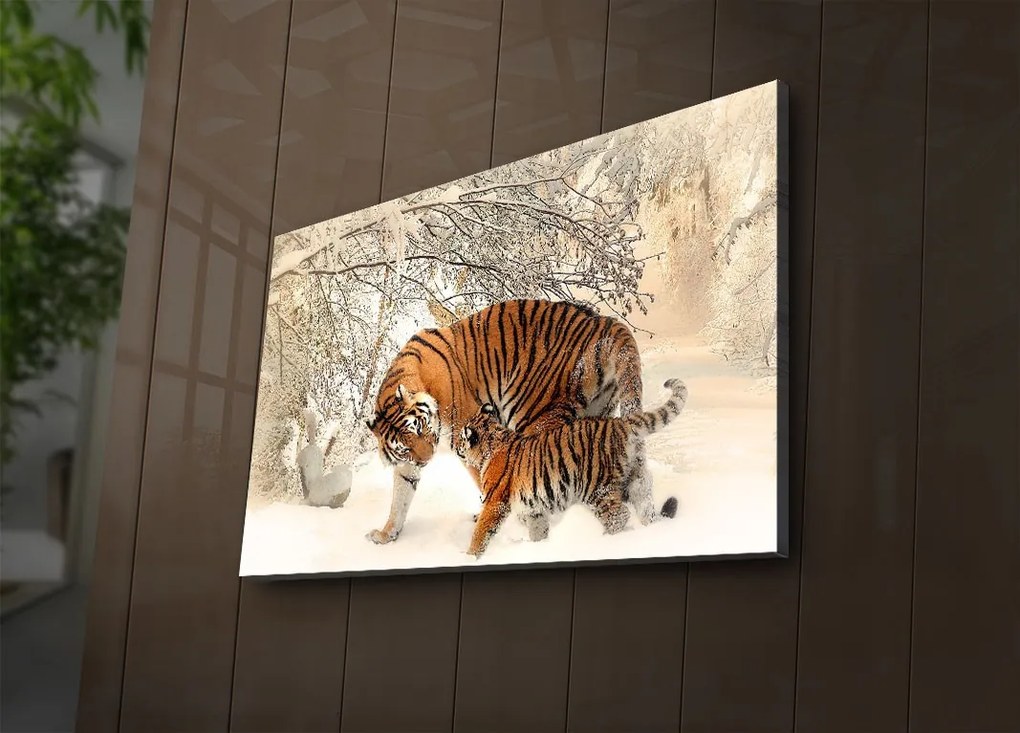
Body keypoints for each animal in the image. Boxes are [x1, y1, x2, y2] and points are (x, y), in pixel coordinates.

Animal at [364, 298, 648, 545]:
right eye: (404, 447)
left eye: (420, 428)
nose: (426, 460)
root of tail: (603, 322)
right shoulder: (407, 464)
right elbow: (400, 497)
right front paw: (386, 535)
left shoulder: (467, 435)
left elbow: (485, 480)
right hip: (598, 412)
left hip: (535, 414)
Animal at [454, 378, 689, 557]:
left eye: (461, 439)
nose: (455, 446)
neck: (492, 440)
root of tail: (619, 423)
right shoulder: (534, 508)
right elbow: (538, 529)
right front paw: (538, 547)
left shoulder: (494, 502)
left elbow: (481, 531)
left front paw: (469, 557)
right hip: (633, 479)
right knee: (644, 504)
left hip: (596, 488)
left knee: (618, 515)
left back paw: (606, 541)